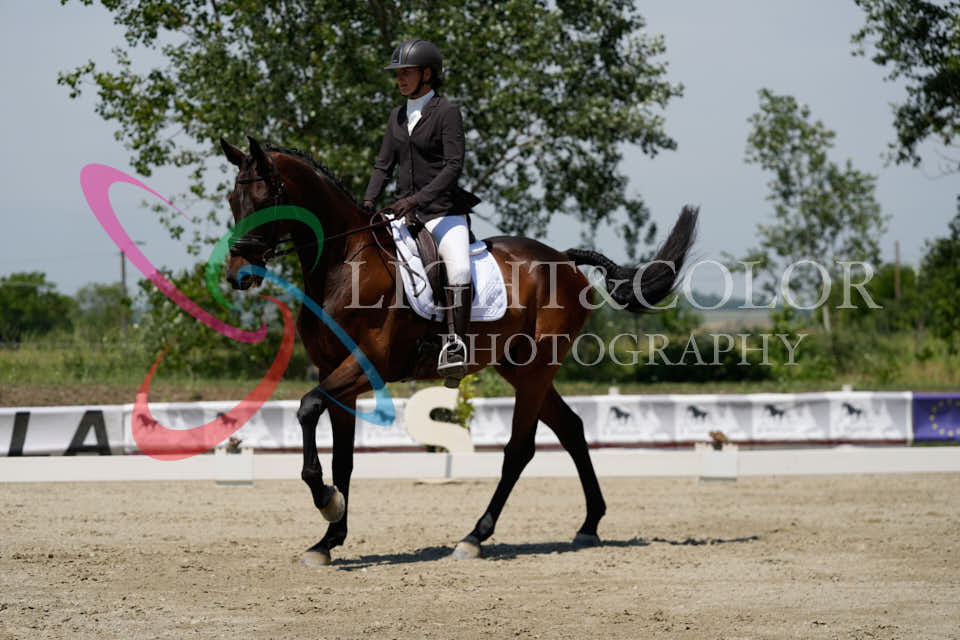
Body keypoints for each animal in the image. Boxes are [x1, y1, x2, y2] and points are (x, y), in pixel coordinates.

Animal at [219, 136, 698, 564]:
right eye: (231, 199)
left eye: (264, 198)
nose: (237, 273)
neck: (343, 264)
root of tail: (563, 259)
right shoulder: (332, 370)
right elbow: (343, 457)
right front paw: (328, 539)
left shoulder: (367, 364)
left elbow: (306, 408)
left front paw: (326, 502)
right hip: (518, 368)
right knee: (572, 428)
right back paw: (589, 525)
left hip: (537, 367)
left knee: (519, 449)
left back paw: (474, 537)